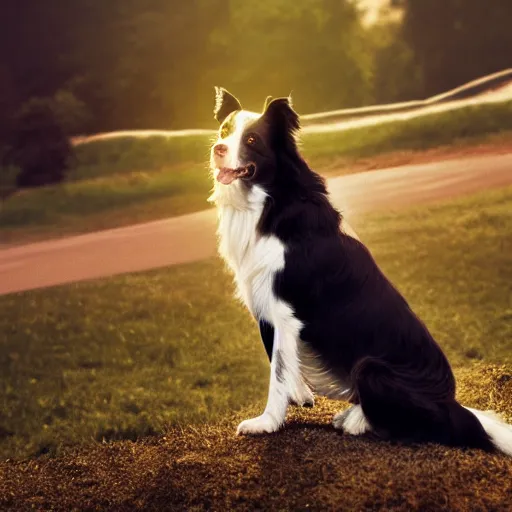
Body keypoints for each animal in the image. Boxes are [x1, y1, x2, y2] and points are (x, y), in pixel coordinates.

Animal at [208, 88, 512, 456]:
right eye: (224, 131)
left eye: (251, 139)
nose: (217, 148)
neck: (272, 201)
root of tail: (451, 404)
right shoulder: (264, 301)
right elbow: (279, 359)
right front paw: (301, 395)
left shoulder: (284, 309)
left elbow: (278, 370)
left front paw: (266, 423)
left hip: (371, 368)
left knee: (420, 428)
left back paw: (357, 421)